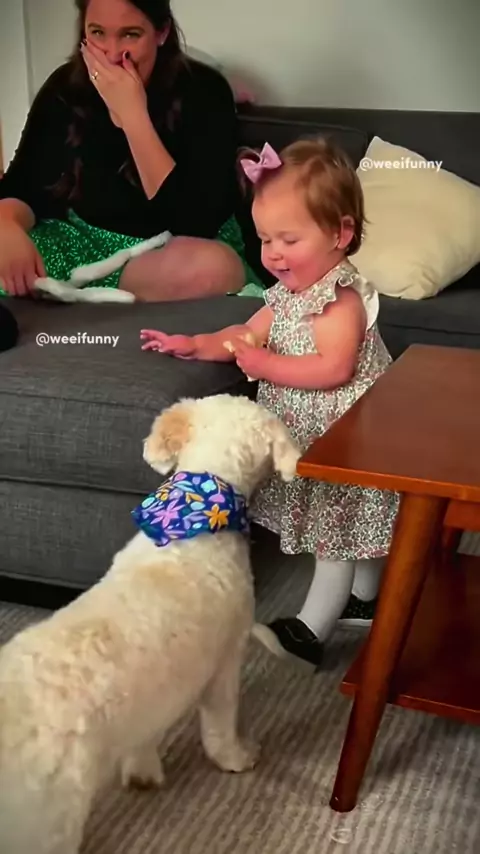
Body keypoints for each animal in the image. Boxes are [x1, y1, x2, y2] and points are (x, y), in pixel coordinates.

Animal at [0, 394, 300, 854]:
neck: (192, 523)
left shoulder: (153, 698)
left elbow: (144, 737)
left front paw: (142, 771)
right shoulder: (224, 663)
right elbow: (219, 728)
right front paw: (237, 758)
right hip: (47, 827)